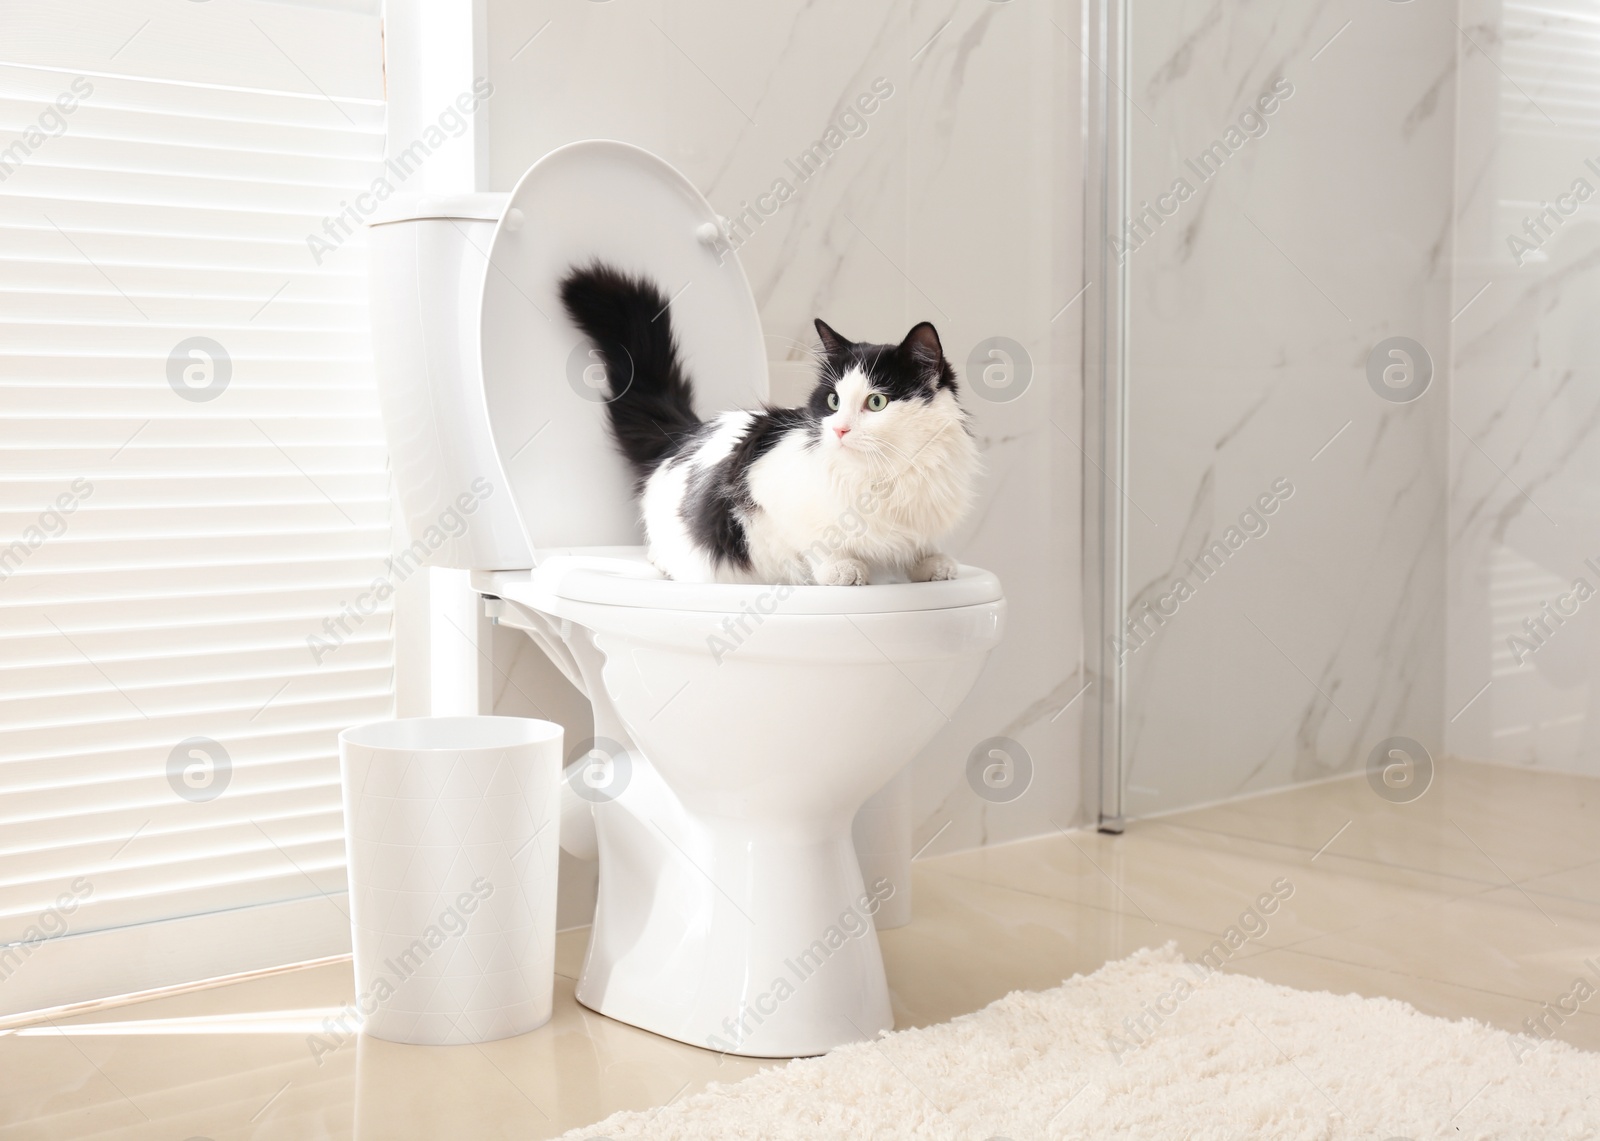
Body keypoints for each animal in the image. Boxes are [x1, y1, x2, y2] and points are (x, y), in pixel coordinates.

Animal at [563, 265, 972, 582]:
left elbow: (919, 543)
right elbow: (812, 540)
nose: (839, 430)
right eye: (833, 401)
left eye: (876, 402)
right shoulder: (759, 495)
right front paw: (843, 568)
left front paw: (932, 563)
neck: (886, 475)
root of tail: (686, 433)